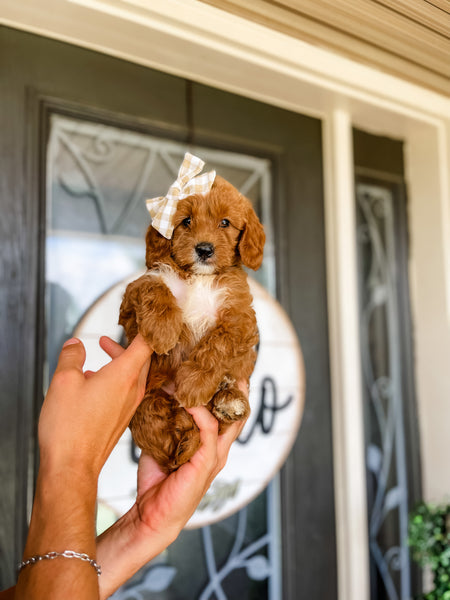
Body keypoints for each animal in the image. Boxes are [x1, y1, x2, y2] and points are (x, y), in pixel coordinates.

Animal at [119, 166, 266, 472]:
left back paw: (228, 400)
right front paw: (163, 331)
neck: (200, 277)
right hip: (148, 402)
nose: (204, 249)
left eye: (225, 223)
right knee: (160, 430)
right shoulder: (132, 302)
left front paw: (195, 383)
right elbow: (153, 287)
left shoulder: (240, 315)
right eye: (186, 221)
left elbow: (218, 343)